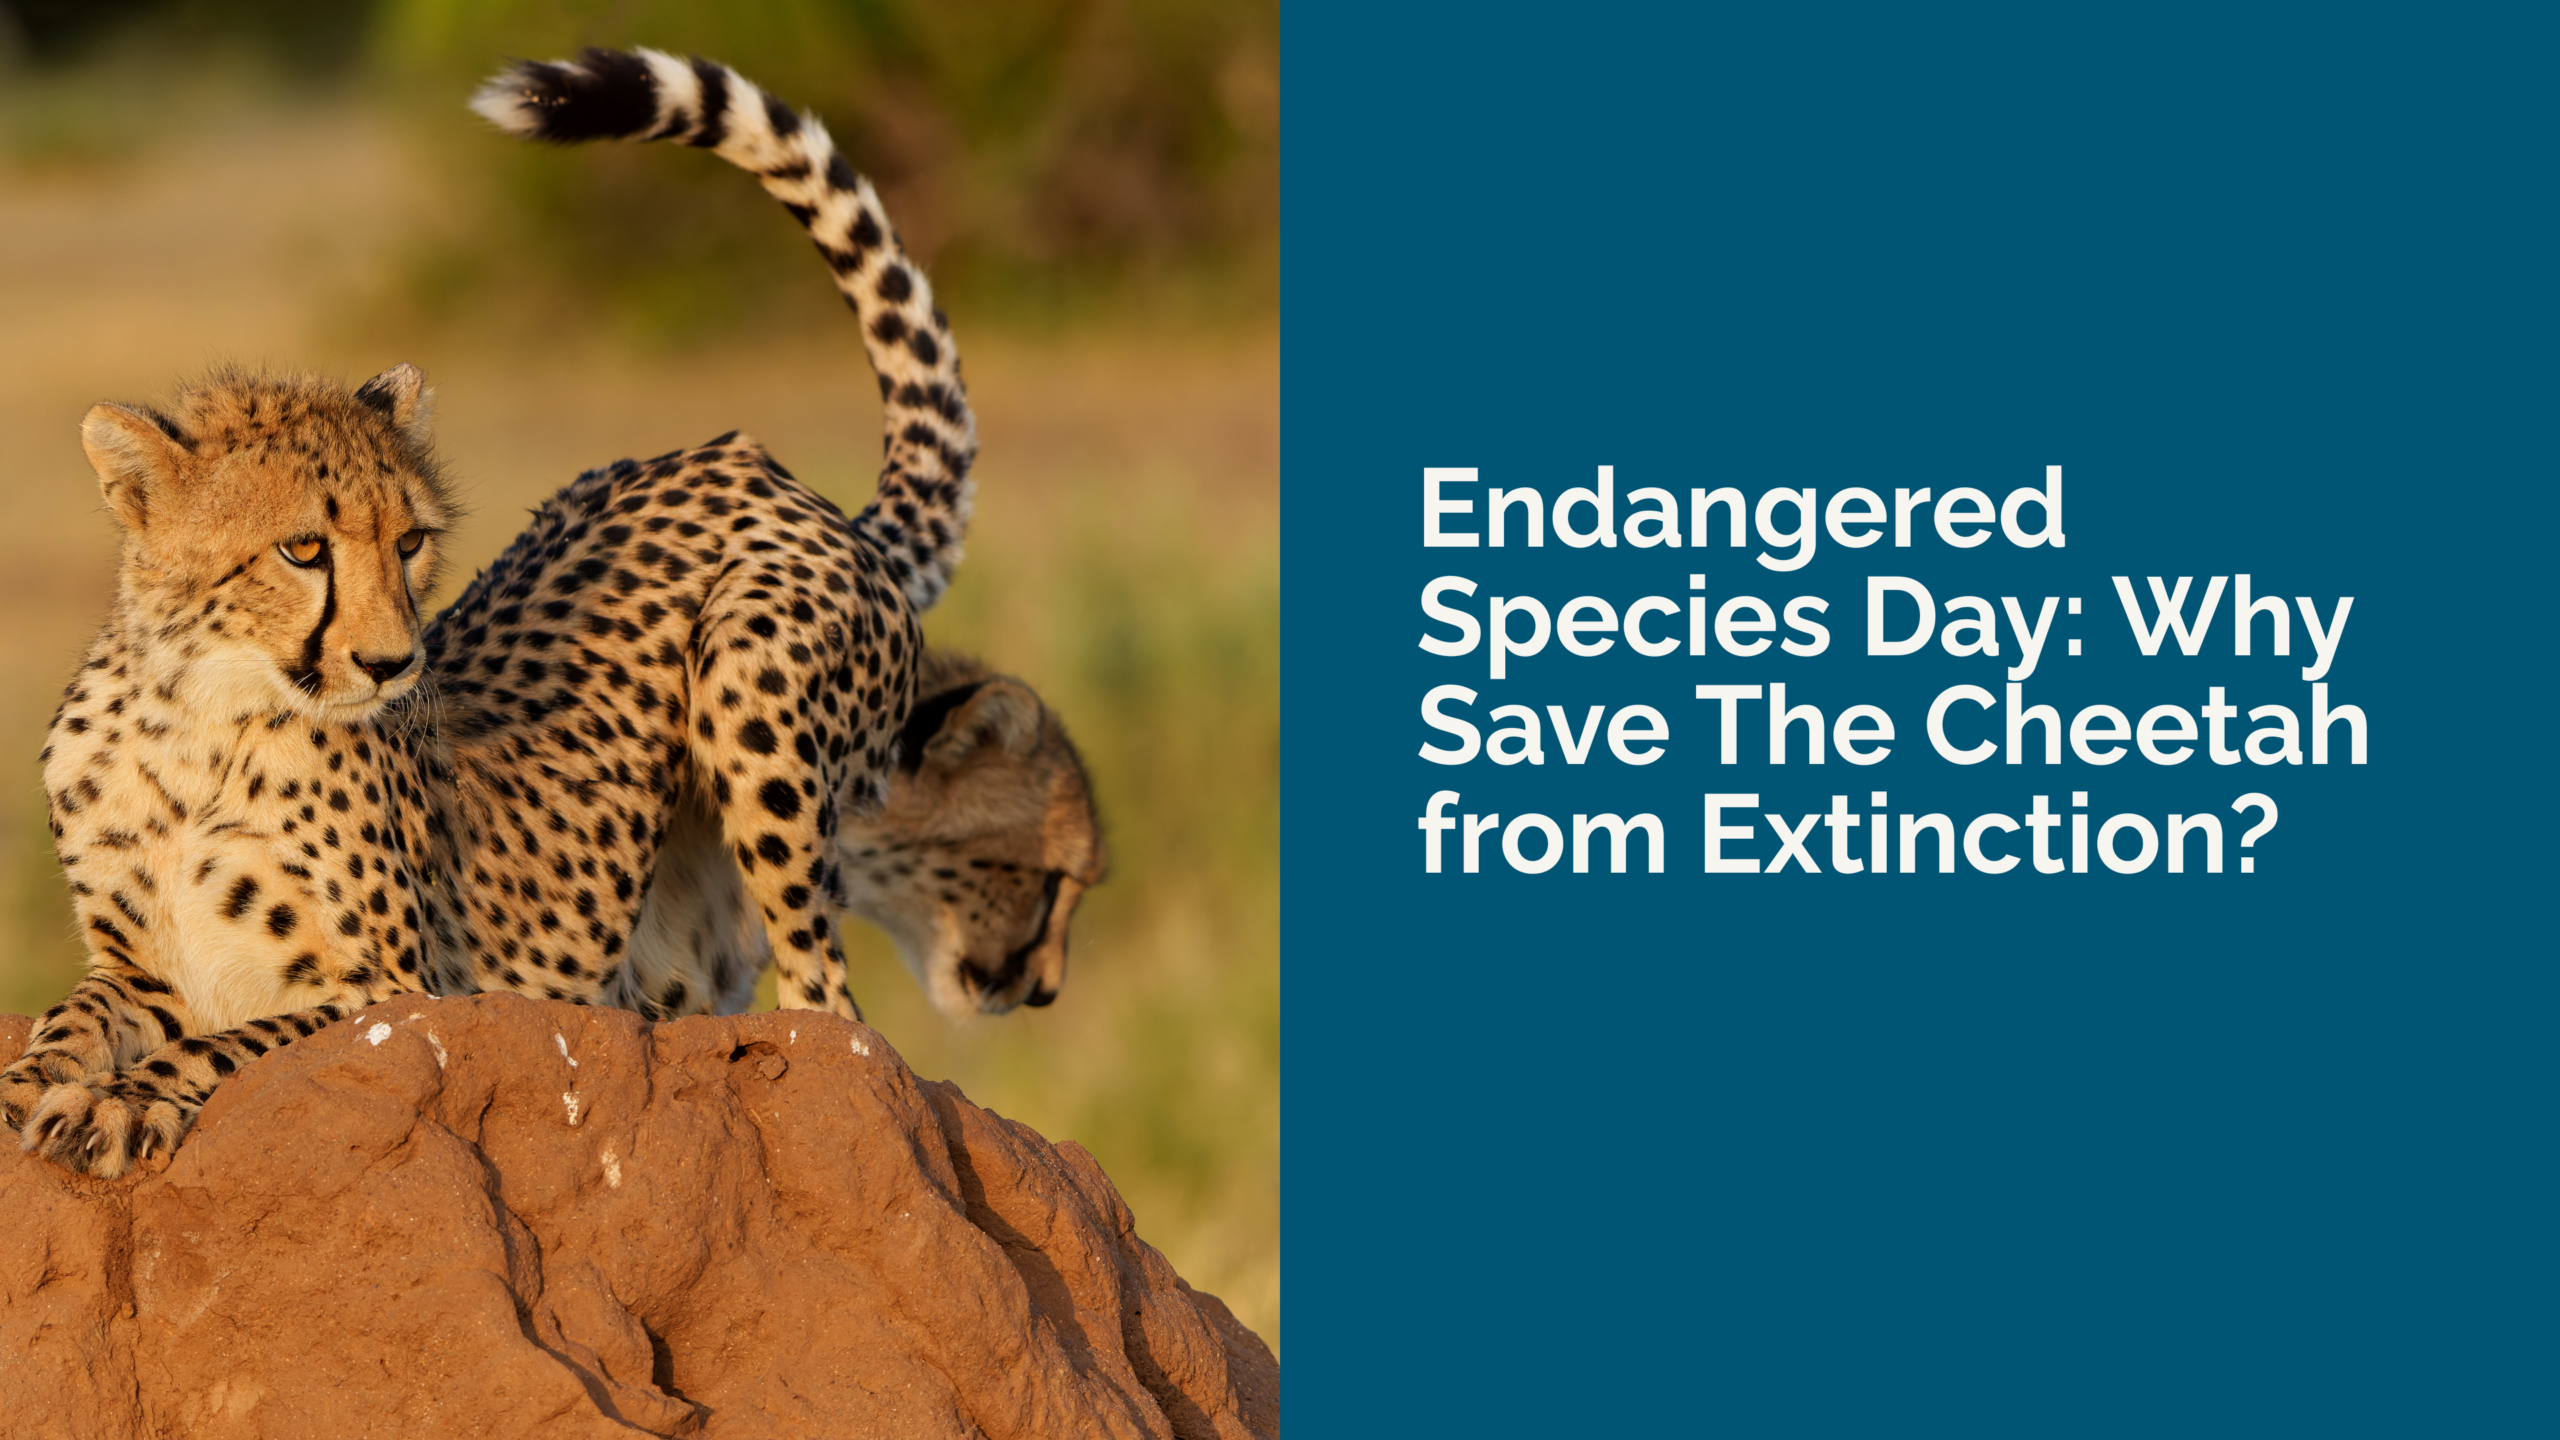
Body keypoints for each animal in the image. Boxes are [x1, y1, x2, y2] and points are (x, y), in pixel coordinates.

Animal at [0, 47, 1104, 1179]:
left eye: (410, 542)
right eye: (304, 549)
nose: (394, 665)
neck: (196, 720)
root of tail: (782, 482)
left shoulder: (394, 995)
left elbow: (232, 1045)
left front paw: (124, 1101)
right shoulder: (141, 970)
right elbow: (75, 1021)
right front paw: (44, 1079)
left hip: (748, 671)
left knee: (834, 1003)